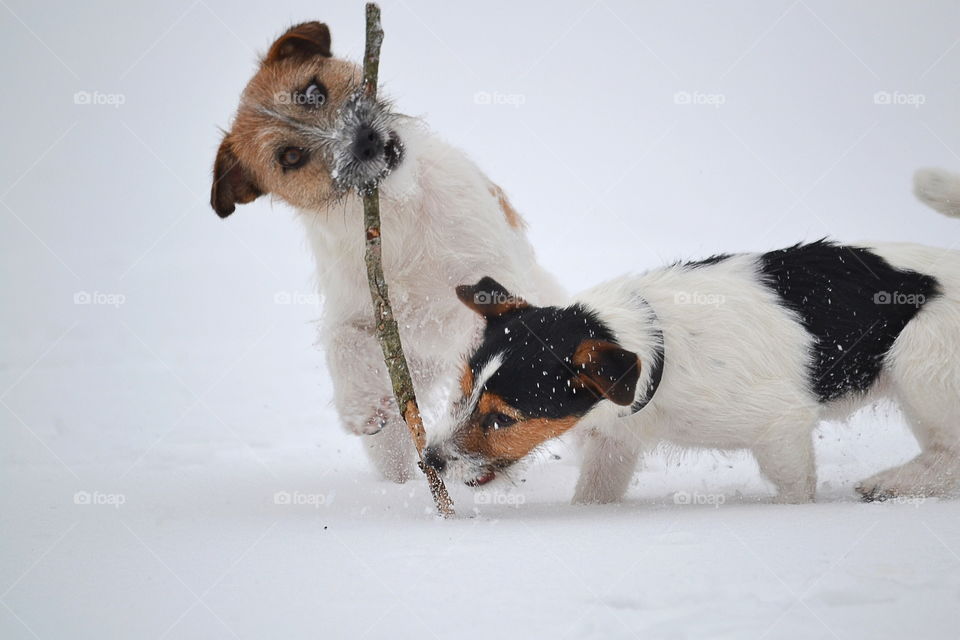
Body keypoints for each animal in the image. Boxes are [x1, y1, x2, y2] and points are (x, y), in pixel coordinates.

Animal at [206, 22, 560, 482]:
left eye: (312, 92)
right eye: (290, 156)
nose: (365, 141)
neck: (396, 214)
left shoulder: (490, 282)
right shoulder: (357, 308)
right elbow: (341, 339)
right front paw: (360, 408)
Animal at [426, 192, 960, 502]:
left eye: (502, 419)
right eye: (461, 391)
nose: (429, 461)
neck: (655, 352)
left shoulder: (781, 429)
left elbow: (796, 490)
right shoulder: (615, 446)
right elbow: (594, 496)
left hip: (919, 366)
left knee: (950, 456)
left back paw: (889, 483)